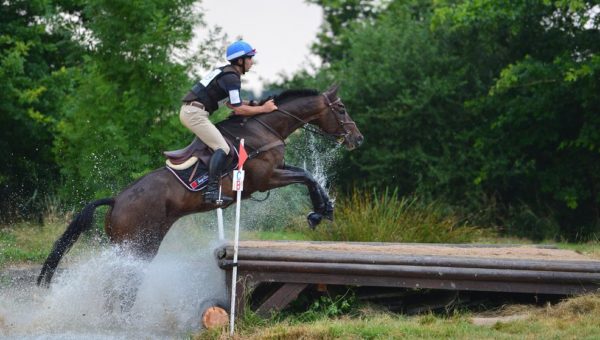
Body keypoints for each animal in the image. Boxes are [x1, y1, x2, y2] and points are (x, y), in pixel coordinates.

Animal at [38, 84, 366, 290]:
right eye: (341, 109)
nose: (358, 138)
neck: (265, 128)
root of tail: (116, 200)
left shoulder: (274, 172)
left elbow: (306, 174)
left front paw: (324, 209)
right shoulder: (264, 178)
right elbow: (307, 176)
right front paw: (319, 212)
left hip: (141, 242)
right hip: (137, 243)